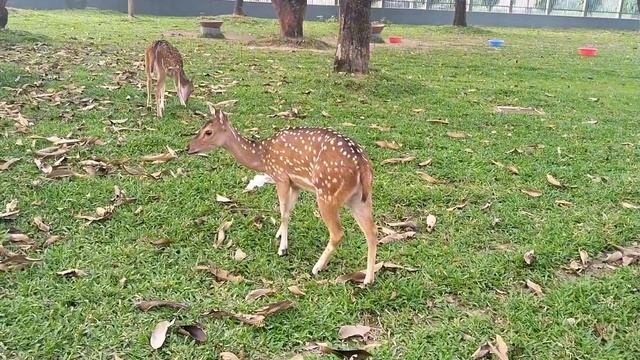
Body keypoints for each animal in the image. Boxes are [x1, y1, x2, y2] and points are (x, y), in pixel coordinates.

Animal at [188, 108, 378, 286]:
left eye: (208, 132)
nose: (188, 148)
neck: (263, 157)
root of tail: (363, 165)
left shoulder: (281, 176)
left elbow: (283, 212)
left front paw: (282, 248)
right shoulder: (296, 184)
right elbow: (290, 210)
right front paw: (279, 234)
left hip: (327, 193)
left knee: (338, 233)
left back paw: (317, 267)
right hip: (360, 198)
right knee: (372, 231)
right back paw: (368, 279)